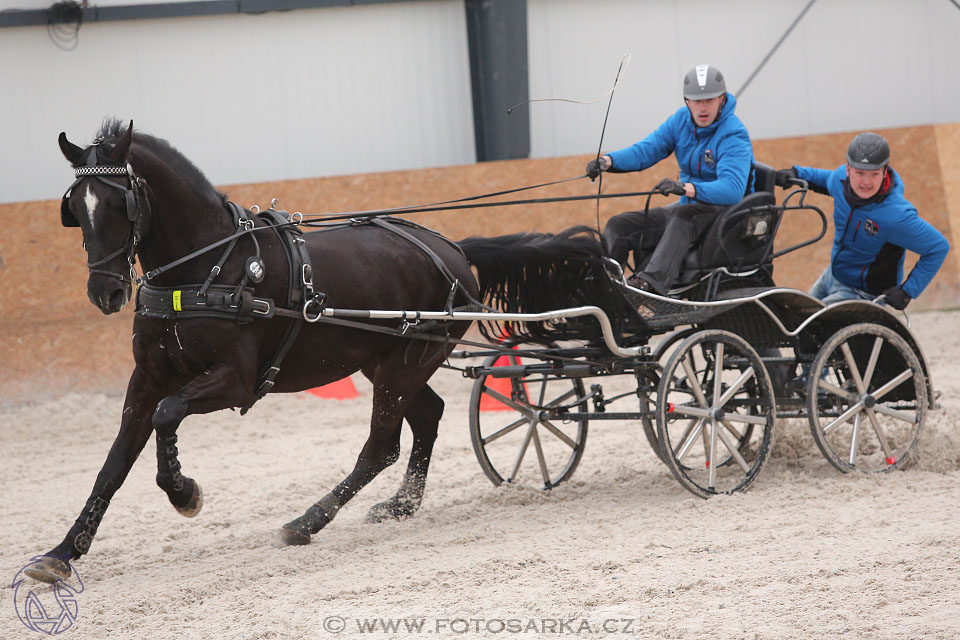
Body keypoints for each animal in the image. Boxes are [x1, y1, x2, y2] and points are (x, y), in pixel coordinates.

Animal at [30, 117, 624, 584]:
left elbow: (167, 416)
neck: (205, 269)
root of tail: (453, 247)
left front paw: (183, 491)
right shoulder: (147, 377)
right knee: (427, 417)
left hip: (404, 364)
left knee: (381, 445)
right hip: (390, 362)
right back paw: (400, 505)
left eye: (120, 202)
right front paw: (62, 553)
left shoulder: (234, 380)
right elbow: (114, 463)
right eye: (75, 208)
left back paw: (306, 521)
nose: (104, 292)